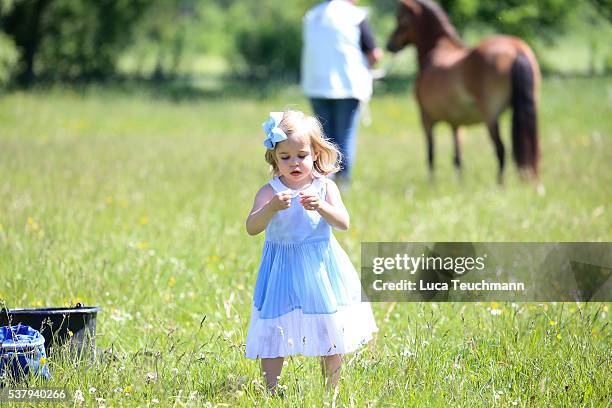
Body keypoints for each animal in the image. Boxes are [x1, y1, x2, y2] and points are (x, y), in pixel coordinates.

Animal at [388, 0, 540, 183]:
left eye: (400, 19)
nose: (389, 45)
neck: (436, 50)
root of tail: (516, 49)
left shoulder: (426, 117)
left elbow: (431, 153)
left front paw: (431, 183)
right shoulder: (456, 123)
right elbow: (457, 157)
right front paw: (459, 183)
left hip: (490, 117)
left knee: (501, 149)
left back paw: (500, 185)